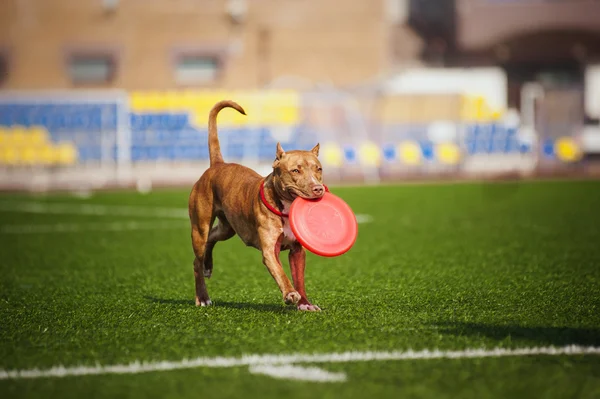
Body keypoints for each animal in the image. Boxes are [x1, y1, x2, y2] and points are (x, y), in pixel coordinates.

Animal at [190, 100, 326, 312]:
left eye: (318, 169)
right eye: (295, 170)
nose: (318, 188)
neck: (285, 207)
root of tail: (218, 165)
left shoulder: (297, 251)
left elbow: (299, 278)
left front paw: (305, 304)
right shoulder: (270, 251)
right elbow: (281, 273)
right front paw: (290, 294)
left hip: (227, 228)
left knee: (212, 238)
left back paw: (208, 266)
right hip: (199, 227)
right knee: (197, 258)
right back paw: (202, 297)